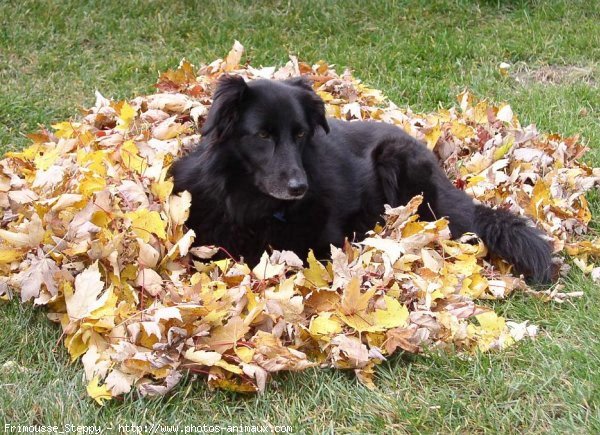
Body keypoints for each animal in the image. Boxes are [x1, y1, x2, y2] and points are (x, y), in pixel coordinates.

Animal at [170, 76, 552, 284]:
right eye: (262, 135)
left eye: (300, 134)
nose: (299, 188)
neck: (254, 204)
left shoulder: (322, 248)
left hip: (399, 164)